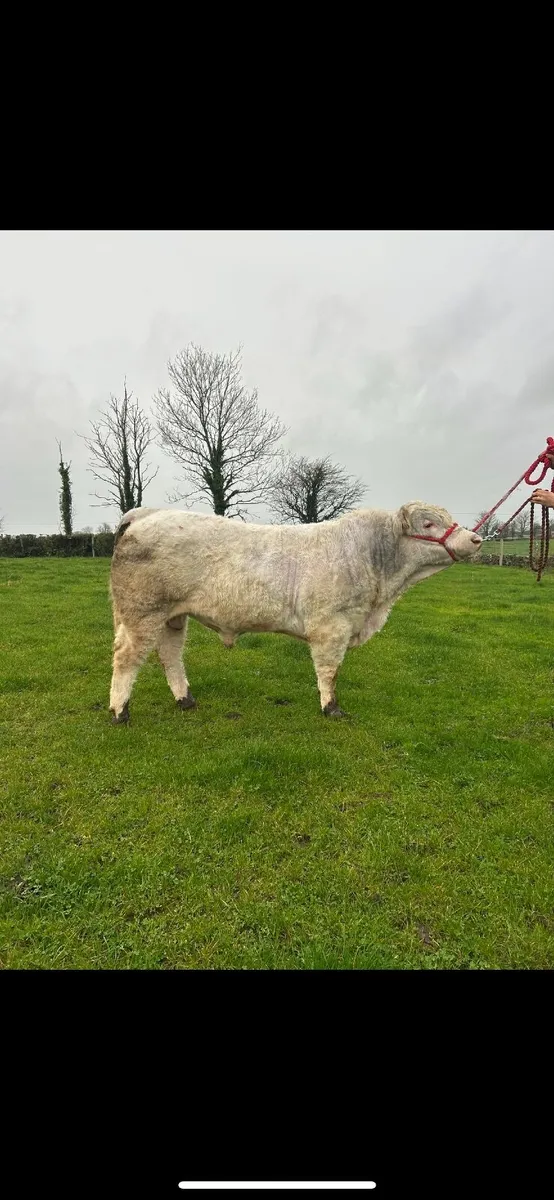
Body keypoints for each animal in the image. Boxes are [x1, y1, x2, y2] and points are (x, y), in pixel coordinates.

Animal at [108, 502, 482, 724]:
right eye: (429, 524)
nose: (476, 539)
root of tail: (145, 514)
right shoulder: (331, 625)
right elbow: (330, 671)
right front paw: (332, 708)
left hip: (171, 615)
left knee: (170, 654)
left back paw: (185, 699)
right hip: (142, 611)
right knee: (127, 658)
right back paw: (119, 711)